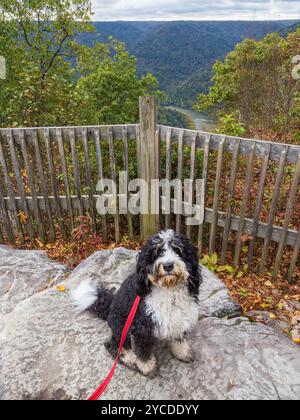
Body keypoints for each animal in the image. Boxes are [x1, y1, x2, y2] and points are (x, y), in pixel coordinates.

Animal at [72, 230, 203, 378]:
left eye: (177, 250)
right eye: (157, 252)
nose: (168, 265)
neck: (169, 290)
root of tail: (110, 307)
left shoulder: (178, 320)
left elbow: (178, 339)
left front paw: (183, 353)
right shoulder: (142, 328)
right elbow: (143, 352)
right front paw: (147, 368)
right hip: (121, 326)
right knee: (113, 346)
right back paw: (130, 359)